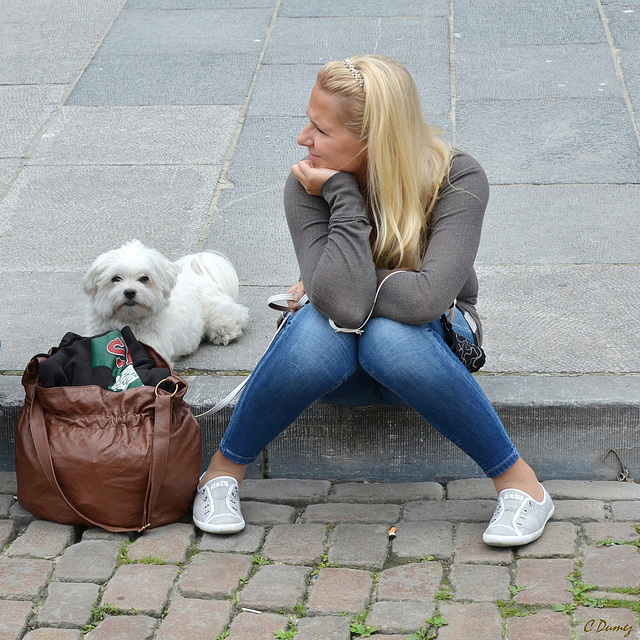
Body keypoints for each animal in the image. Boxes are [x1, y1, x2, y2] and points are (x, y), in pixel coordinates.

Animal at [86, 239, 251, 360]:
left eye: (144, 278)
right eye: (115, 278)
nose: (130, 292)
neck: (129, 321)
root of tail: (199, 275)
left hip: (216, 314)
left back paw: (226, 334)